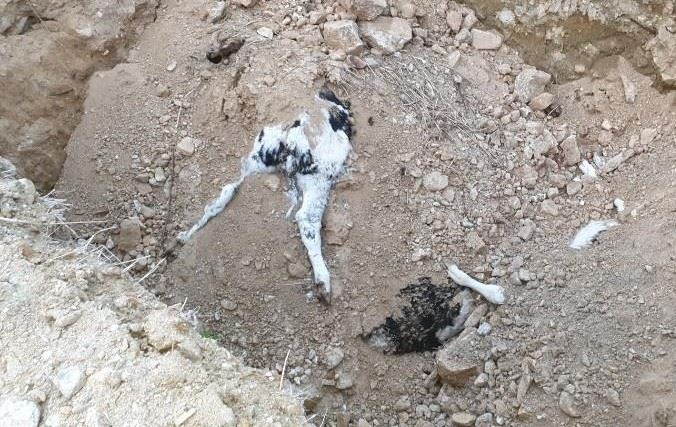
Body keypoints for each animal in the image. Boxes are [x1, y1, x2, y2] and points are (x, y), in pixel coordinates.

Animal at [177, 88, 352, 304]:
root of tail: (291, 134)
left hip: (257, 161)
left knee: (225, 193)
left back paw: (184, 236)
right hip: (319, 178)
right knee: (307, 218)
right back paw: (323, 283)